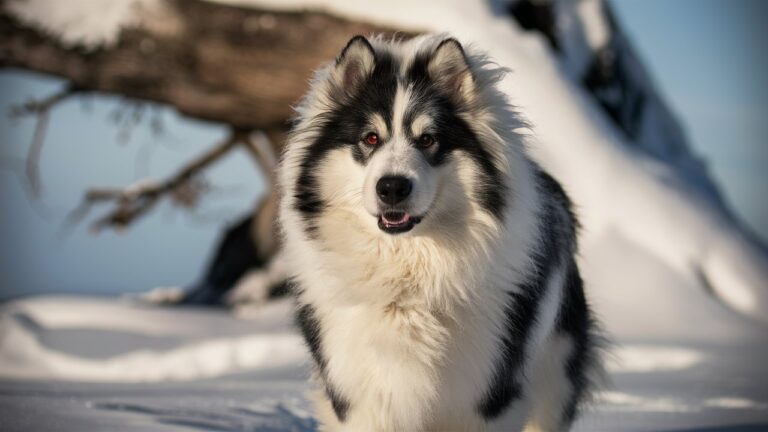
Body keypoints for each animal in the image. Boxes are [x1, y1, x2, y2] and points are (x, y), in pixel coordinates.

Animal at [276, 34, 600, 432]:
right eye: (370, 138)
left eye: (428, 139)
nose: (392, 187)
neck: (405, 283)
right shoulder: (361, 397)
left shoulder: (485, 397)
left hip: (554, 377)